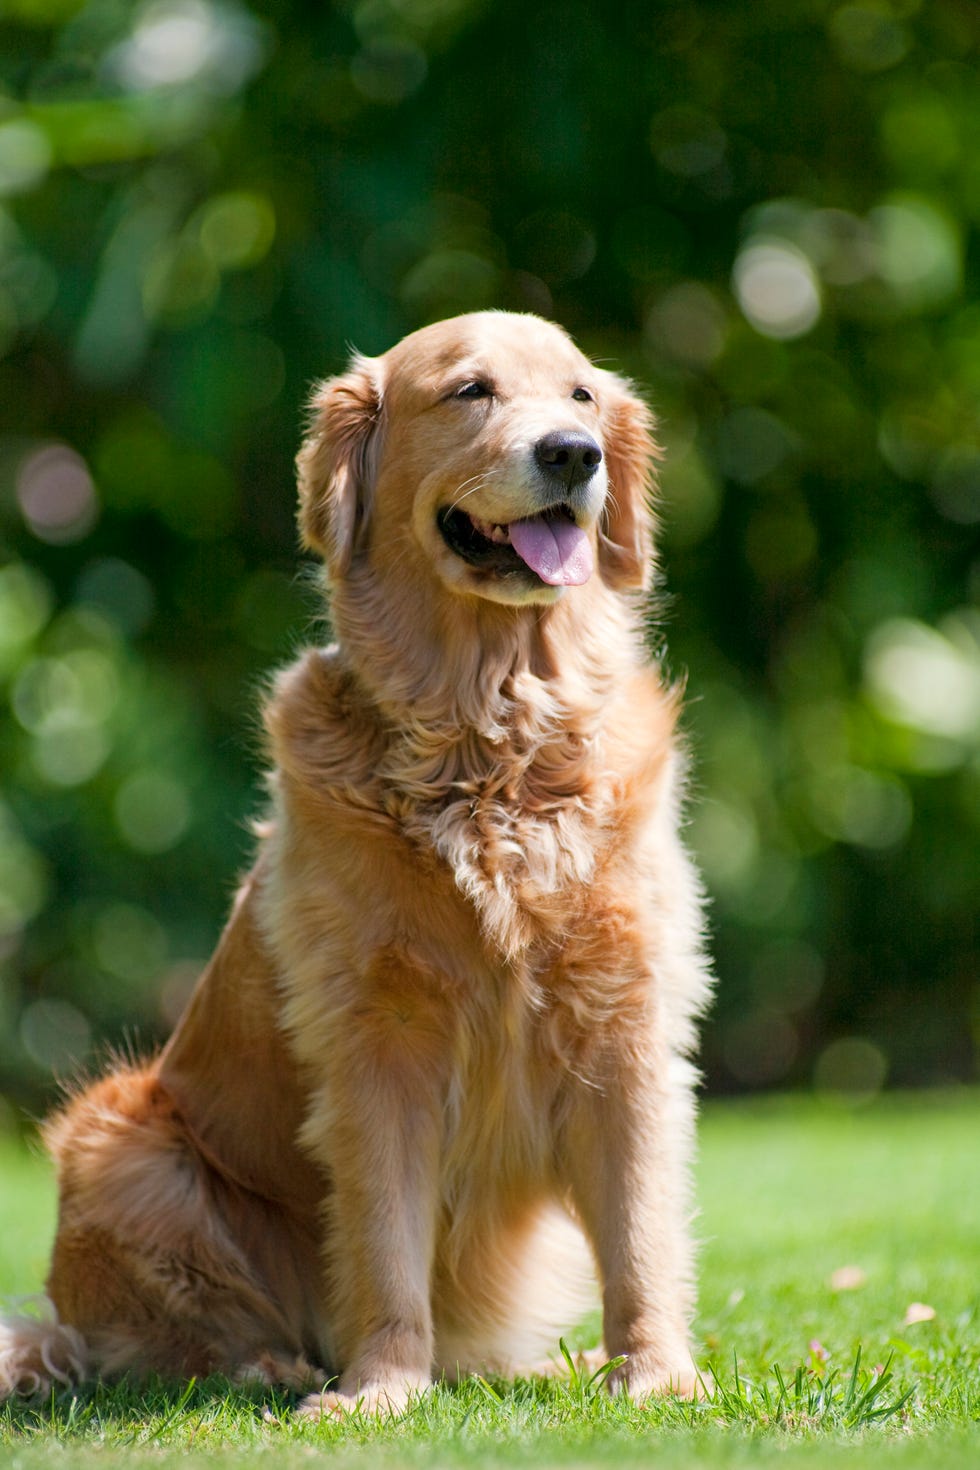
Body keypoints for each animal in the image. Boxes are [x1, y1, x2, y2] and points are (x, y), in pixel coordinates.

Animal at [0, 307, 708, 1411]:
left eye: (583, 395)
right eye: (470, 390)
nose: (572, 454)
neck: (488, 741)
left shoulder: (625, 1020)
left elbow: (639, 1231)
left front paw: (655, 1375)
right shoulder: (378, 1041)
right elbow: (382, 1238)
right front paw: (380, 1388)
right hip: (120, 1141)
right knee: (168, 1339)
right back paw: (271, 1363)